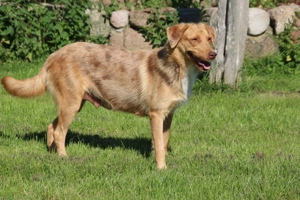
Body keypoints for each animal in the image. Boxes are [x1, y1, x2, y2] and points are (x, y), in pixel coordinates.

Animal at [0, 22, 216, 170]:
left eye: (209, 39)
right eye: (194, 39)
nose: (213, 54)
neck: (178, 69)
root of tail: (52, 56)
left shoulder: (168, 115)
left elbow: (162, 142)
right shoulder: (156, 114)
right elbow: (159, 145)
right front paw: (161, 169)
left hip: (72, 104)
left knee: (51, 127)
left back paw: (51, 153)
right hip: (71, 104)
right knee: (60, 132)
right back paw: (64, 158)